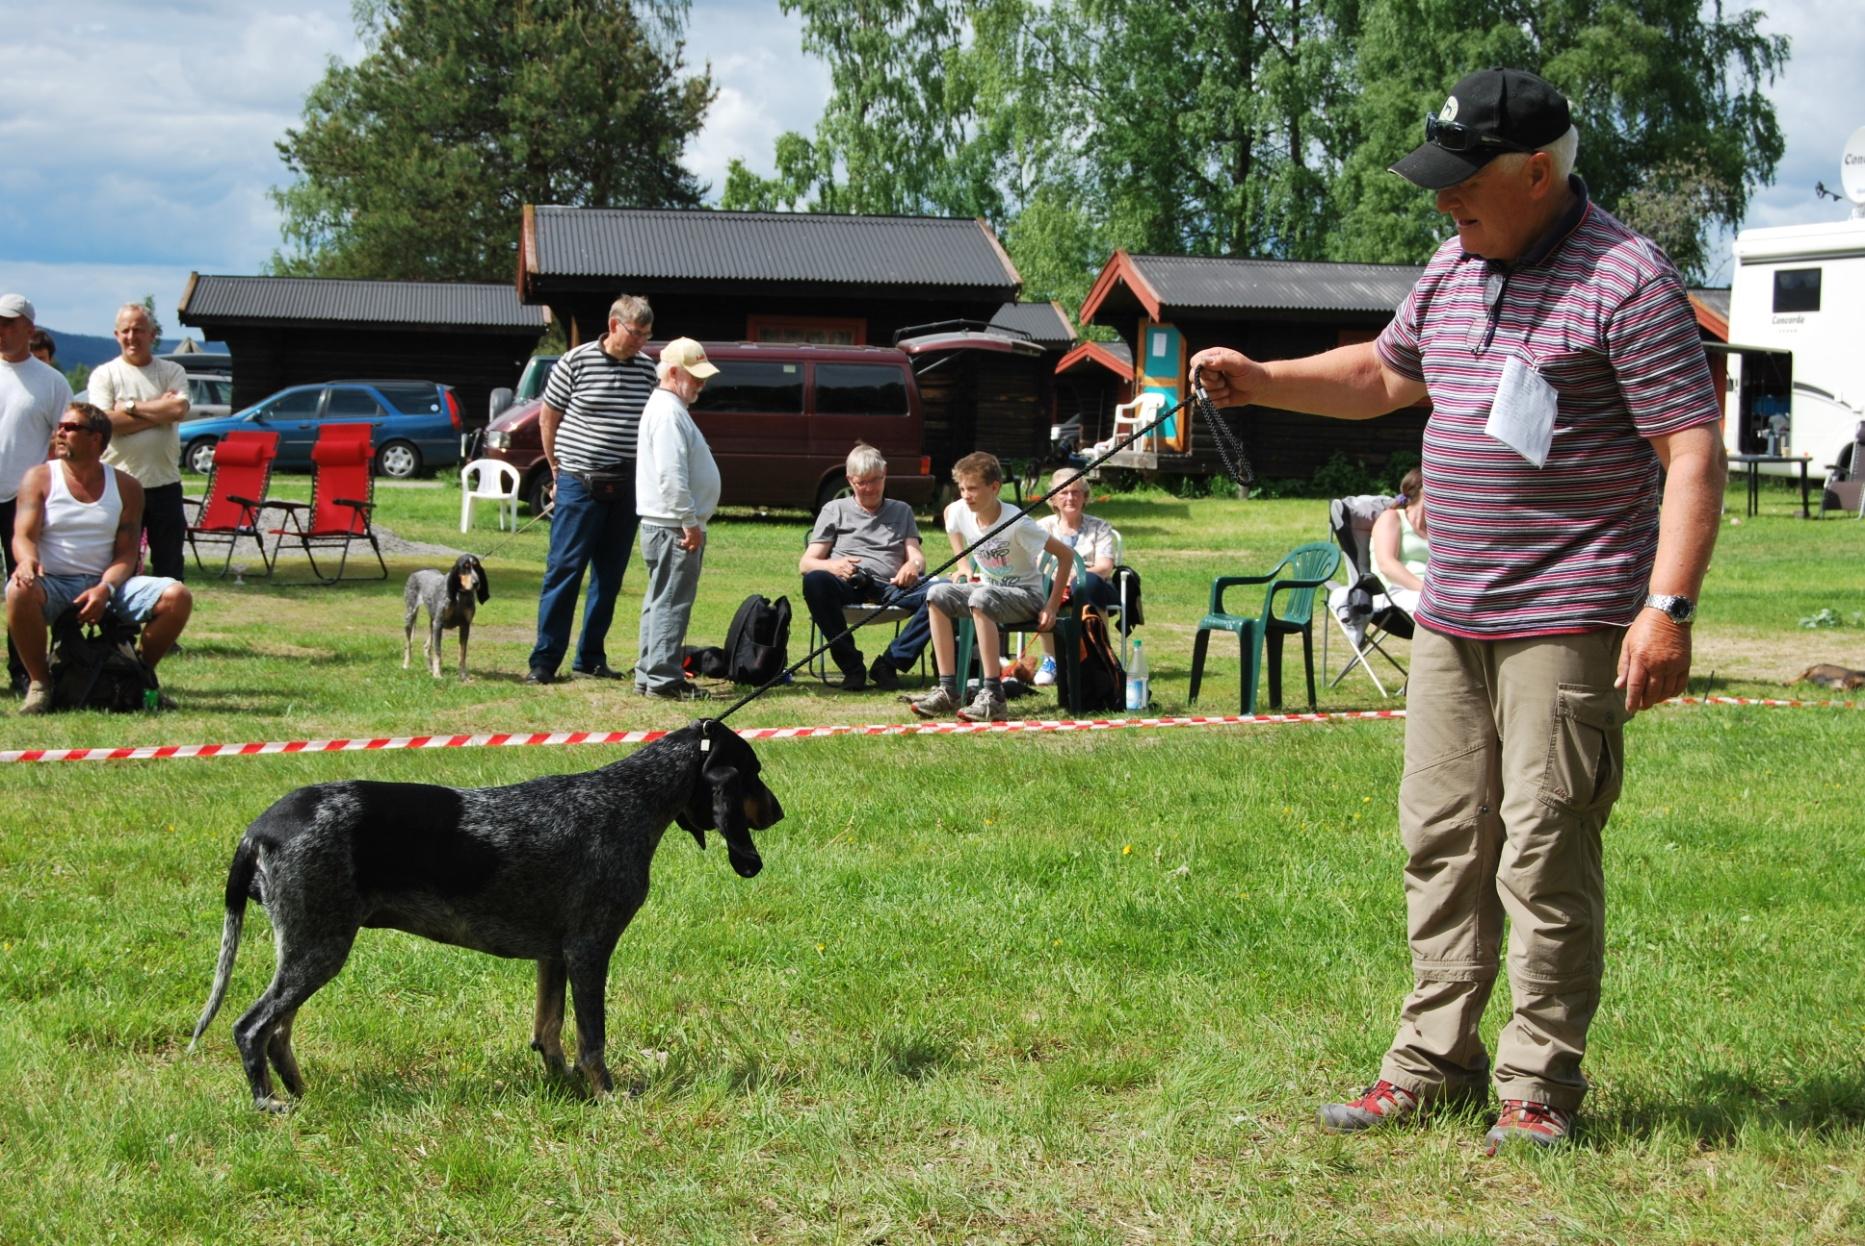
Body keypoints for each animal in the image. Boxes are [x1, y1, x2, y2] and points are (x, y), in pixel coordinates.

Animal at [183, 716, 779, 1111]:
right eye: (752, 772)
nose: (778, 813)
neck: (626, 798)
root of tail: (257, 831)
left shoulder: (554, 956)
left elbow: (549, 1031)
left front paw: (563, 1090)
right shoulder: (590, 950)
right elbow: (591, 1039)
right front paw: (607, 1098)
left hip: (310, 949)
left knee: (278, 1032)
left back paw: (302, 1094)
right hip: (318, 949)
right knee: (251, 1027)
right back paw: (268, 1104)